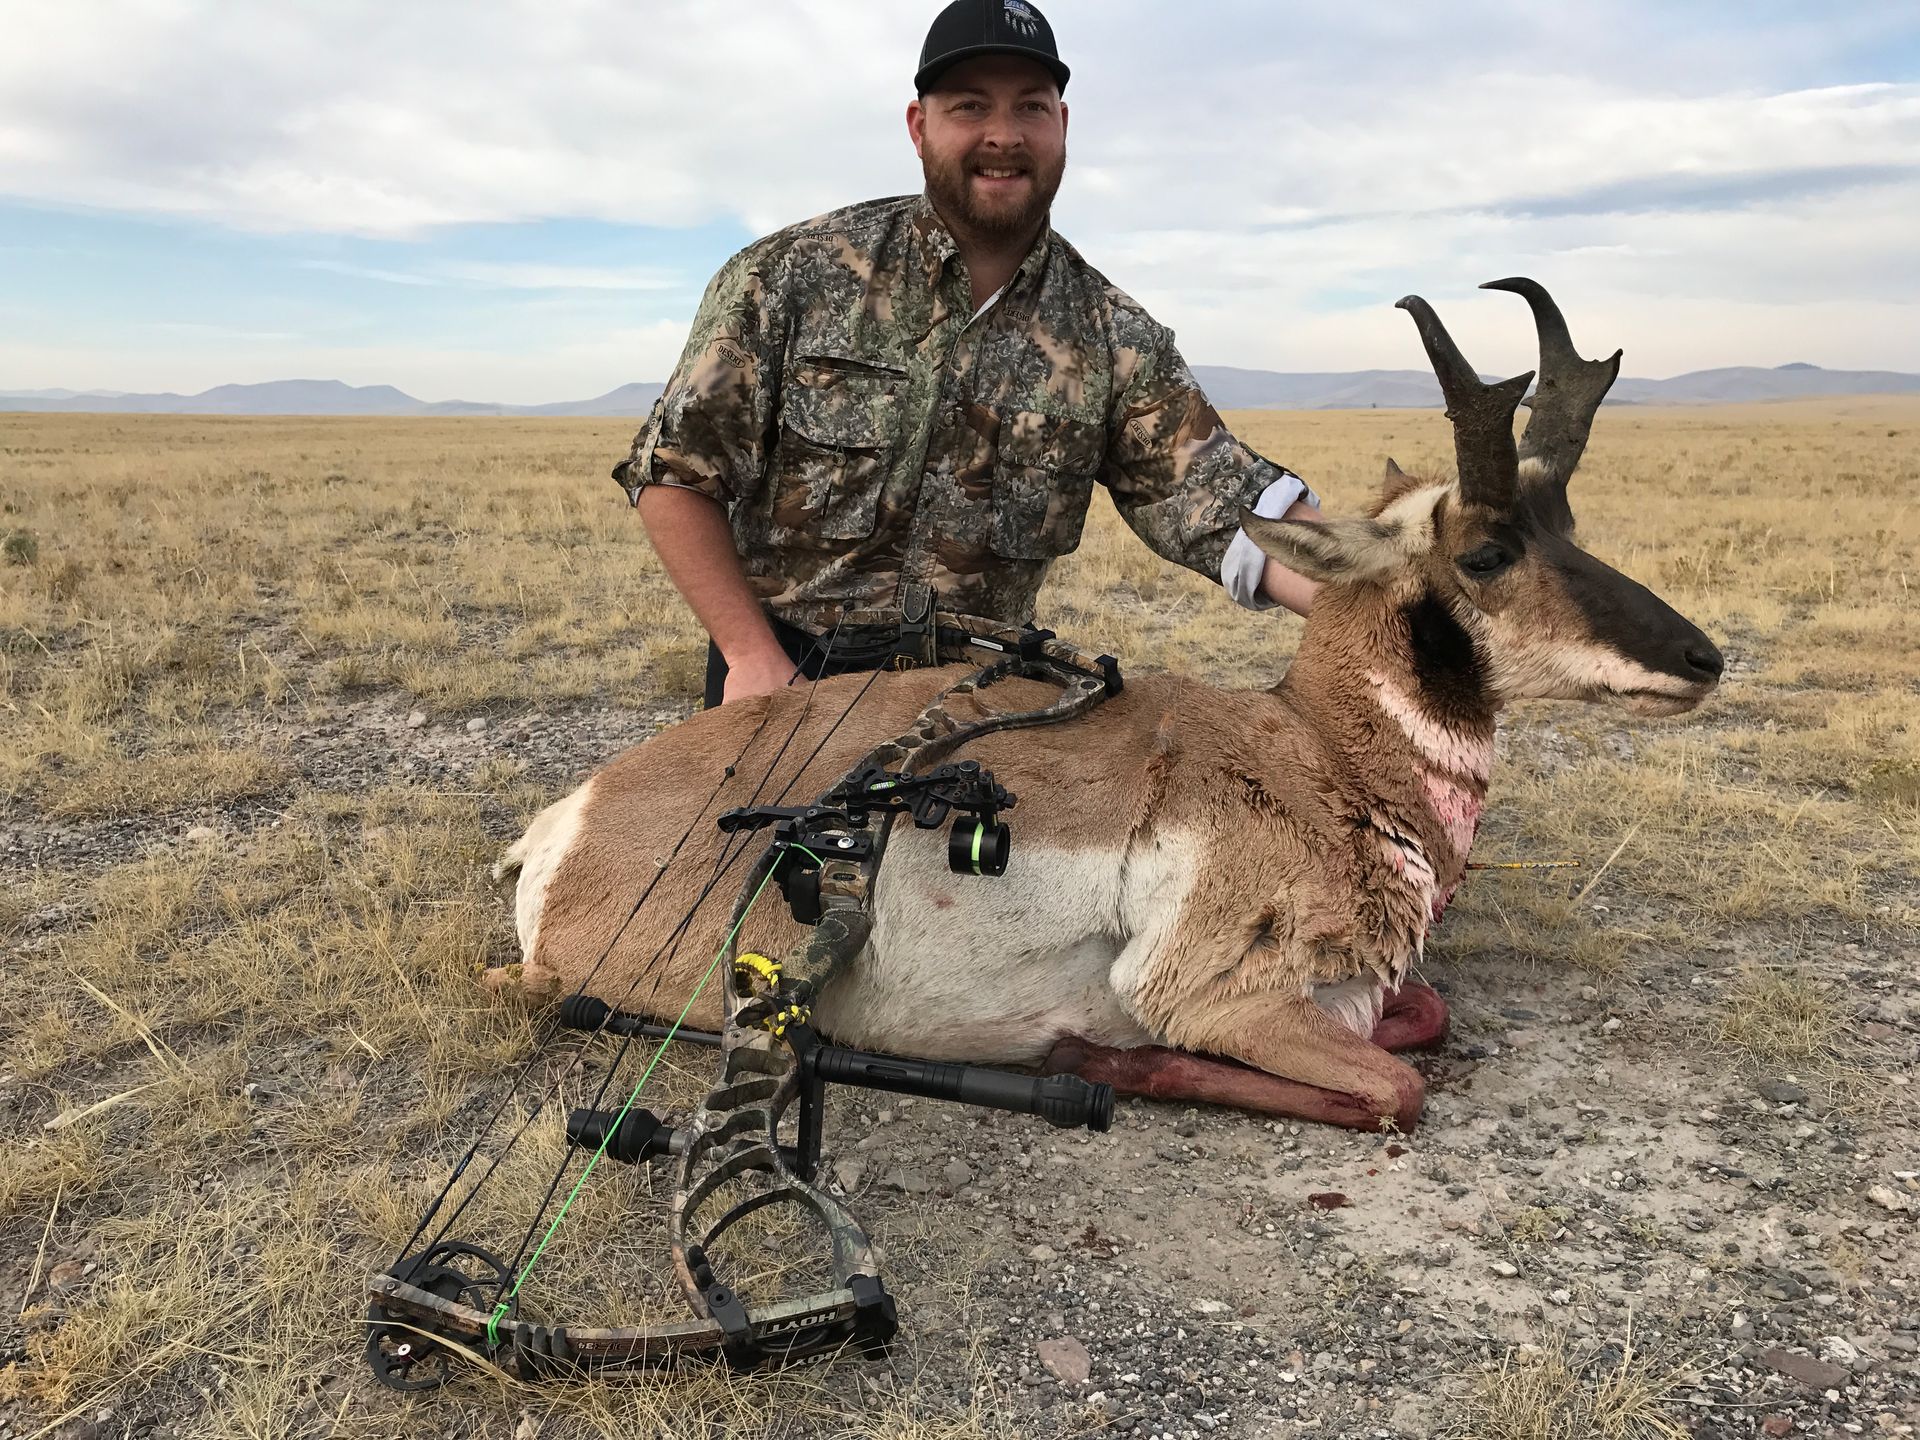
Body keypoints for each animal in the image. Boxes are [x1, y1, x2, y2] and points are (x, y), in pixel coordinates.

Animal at [493, 281, 1722, 1133]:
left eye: (1570, 521)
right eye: (1487, 550)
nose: (1703, 658)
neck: (1320, 754)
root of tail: (569, 821)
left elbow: (1424, 1014)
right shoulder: (1212, 994)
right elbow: (1393, 1087)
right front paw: (1098, 1062)